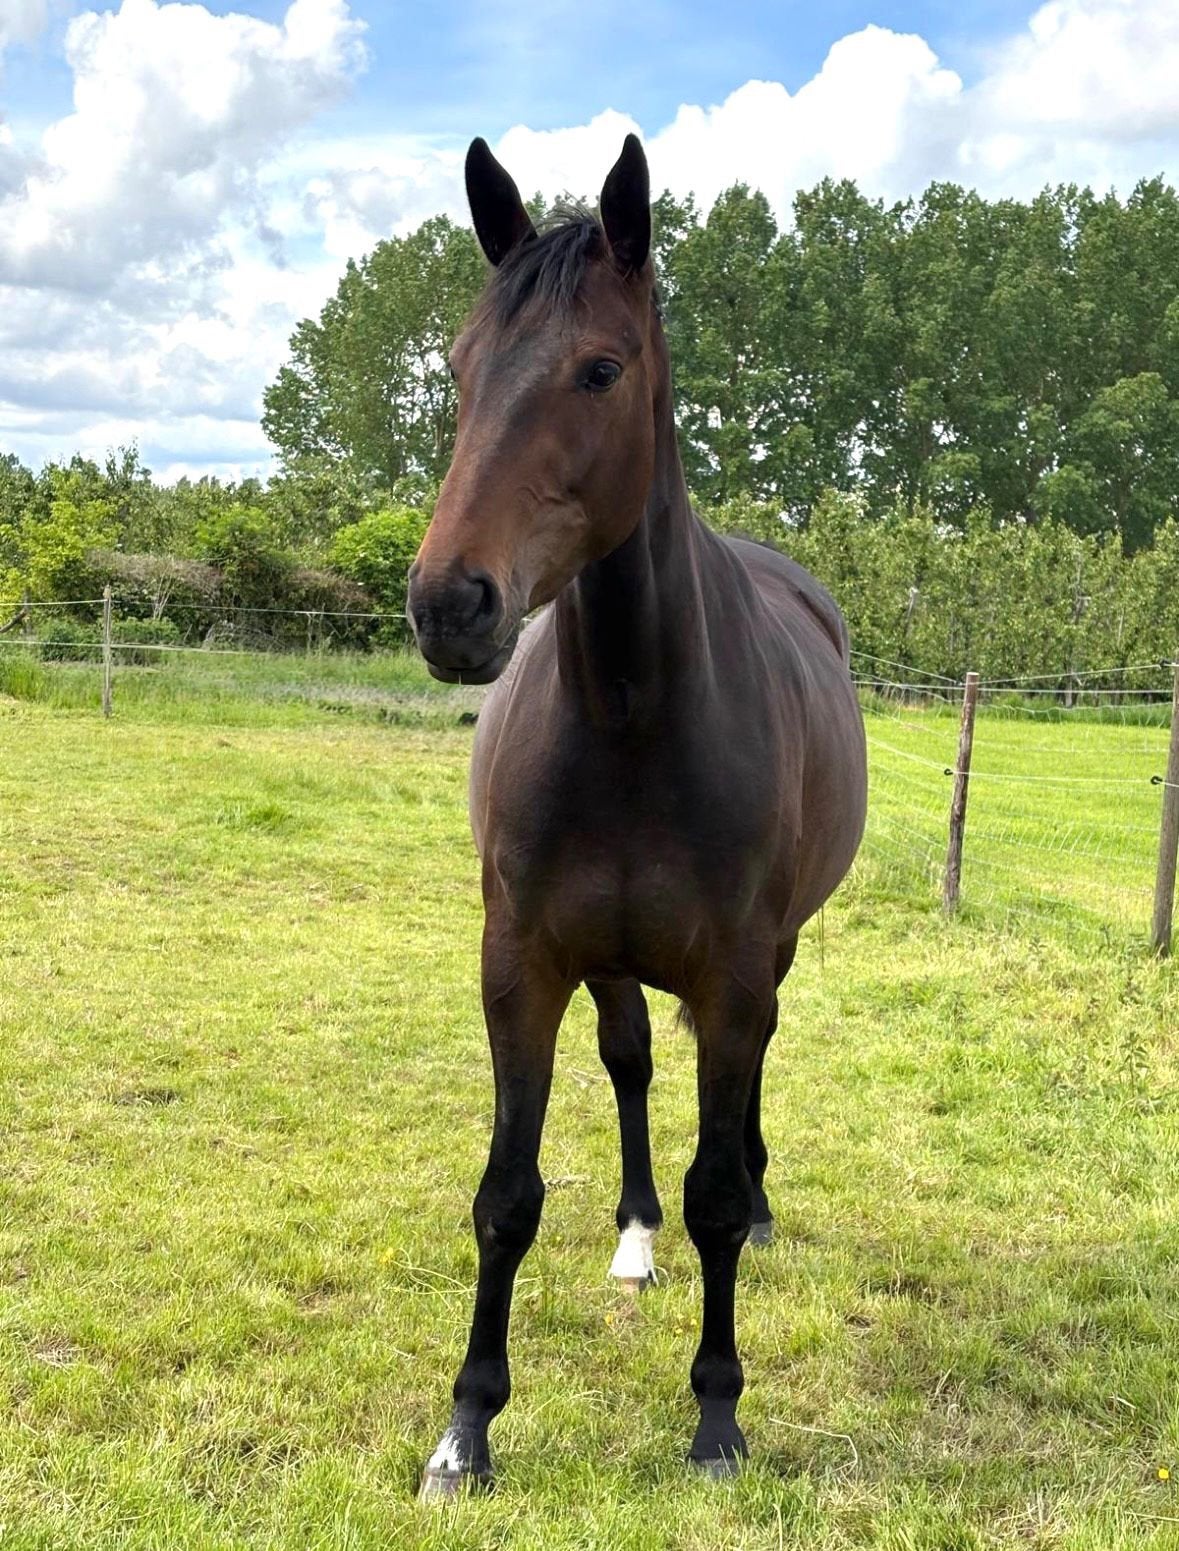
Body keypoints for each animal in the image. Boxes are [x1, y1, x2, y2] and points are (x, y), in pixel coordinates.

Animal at [406, 133, 868, 1495]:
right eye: (459, 367)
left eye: (599, 369)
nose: (449, 604)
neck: (626, 716)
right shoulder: (520, 963)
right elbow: (506, 1195)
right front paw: (465, 1430)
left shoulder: (732, 973)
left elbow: (715, 1175)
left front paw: (717, 1419)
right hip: (606, 960)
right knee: (629, 1064)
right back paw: (633, 1234)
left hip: (771, 955)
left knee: (743, 1093)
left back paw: (754, 1211)